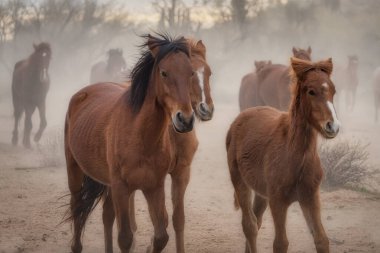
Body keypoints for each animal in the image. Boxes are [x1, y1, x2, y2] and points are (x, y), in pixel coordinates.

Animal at [65, 34, 200, 253]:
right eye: (164, 73)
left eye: (191, 73)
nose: (185, 120)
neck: (140, 136)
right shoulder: (121, 187)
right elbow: (126, 238)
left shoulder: (154, 186)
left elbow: (161, 235)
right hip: (75, 171)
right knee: (77, 208)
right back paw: (76, 245)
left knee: (107, 215)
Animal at [227, 57, 340, 253]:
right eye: (311, 91)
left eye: (333, 90)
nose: (332, 126)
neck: (295, 156)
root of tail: (240, 119)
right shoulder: (278, 201)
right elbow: (280, 243)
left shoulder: (310, 196)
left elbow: (321, 239)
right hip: (240, 181)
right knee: (249, 226)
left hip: (261, 193)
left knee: (256, 221)